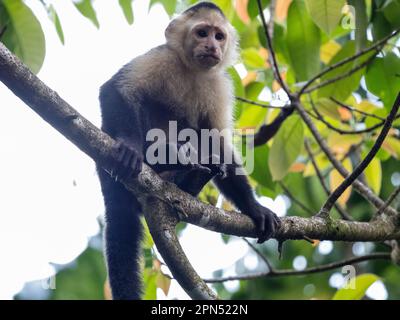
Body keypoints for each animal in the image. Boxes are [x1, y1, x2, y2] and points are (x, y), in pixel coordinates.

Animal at [98, 1, 290, 300]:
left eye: (219, 36)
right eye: (201, 33)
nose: (211, 46)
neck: (192, 70)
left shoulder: (220, 85)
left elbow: (220, 143)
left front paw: (253, 207)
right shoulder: (162, 57)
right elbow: (115, 89)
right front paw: (130, 146)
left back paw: (189, 177)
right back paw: (162, 158)